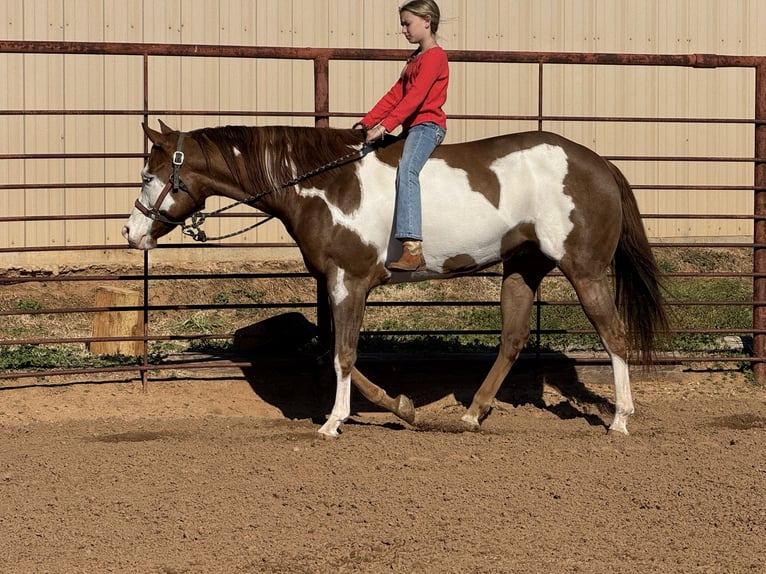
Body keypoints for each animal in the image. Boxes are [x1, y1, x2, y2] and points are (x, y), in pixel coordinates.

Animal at [123, 120, 668, 436]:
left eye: (148, 175)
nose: (130, 232)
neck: (324, 186)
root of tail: (599, 164)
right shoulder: (338, 283)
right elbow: (335, 352)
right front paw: (402, 408)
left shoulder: (350, 281)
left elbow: (343, 355)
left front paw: (333, 422)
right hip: (522, 267)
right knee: (513, 340)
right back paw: (472, 414)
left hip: (585, 270)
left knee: (614, 335)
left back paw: (620, 420)